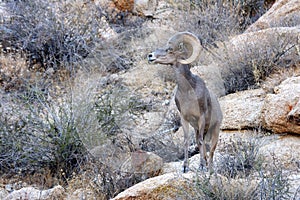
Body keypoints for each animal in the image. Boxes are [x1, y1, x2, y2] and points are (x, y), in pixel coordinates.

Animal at [148, 31, 223, 172]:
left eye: (169, 49)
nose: (150, 56)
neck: (188, 91)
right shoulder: (185, 119)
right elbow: (187, 141)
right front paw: (185, 167)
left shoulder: (201, 118)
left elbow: (200, 142)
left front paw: (201, 166)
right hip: (198, 129)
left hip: (214, 131)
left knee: (211, 150)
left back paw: (209, 169)